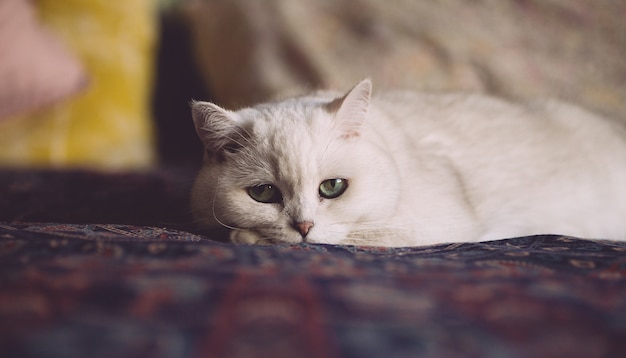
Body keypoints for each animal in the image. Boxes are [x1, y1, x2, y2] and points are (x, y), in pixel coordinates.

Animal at [189, 79, 624, 246]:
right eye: (264, 194)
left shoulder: (436, 226)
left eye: (333, 187)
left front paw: (247, 238)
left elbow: (362, 237)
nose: (304, 227)